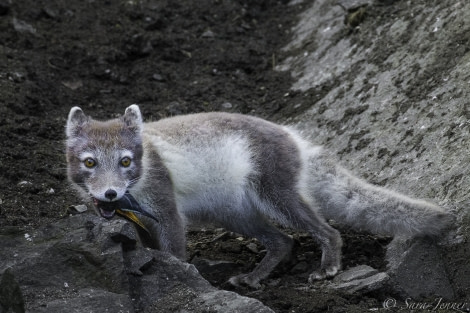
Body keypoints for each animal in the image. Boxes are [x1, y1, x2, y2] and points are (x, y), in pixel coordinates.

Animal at [65, 105, 452, 288]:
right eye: (90, 162)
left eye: (125, 161)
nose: (111, 193)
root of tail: (294, 136)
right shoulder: (144, 223)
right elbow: (153, 251)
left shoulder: (167, 211)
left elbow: (174, 252)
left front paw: (186, 279)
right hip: (236, 215)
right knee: (283, 242)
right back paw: (253, 279)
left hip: (276, 198)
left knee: (327, 231)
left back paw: (327, 268)